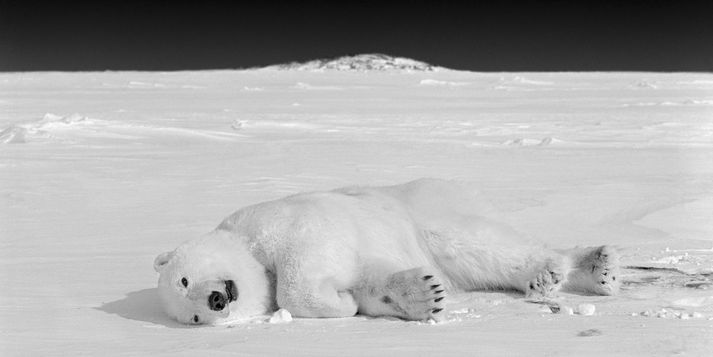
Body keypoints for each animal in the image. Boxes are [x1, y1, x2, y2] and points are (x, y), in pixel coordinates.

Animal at [154, 177, 616, 322]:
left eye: (185, 279)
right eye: (193, 317)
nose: (215, 301)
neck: (245, 240)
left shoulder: (279, 222)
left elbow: (303, 263)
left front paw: (333, 303)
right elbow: (371, 283)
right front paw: (421, 295)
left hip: (426, 210)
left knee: (476, 242)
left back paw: (563, 268)